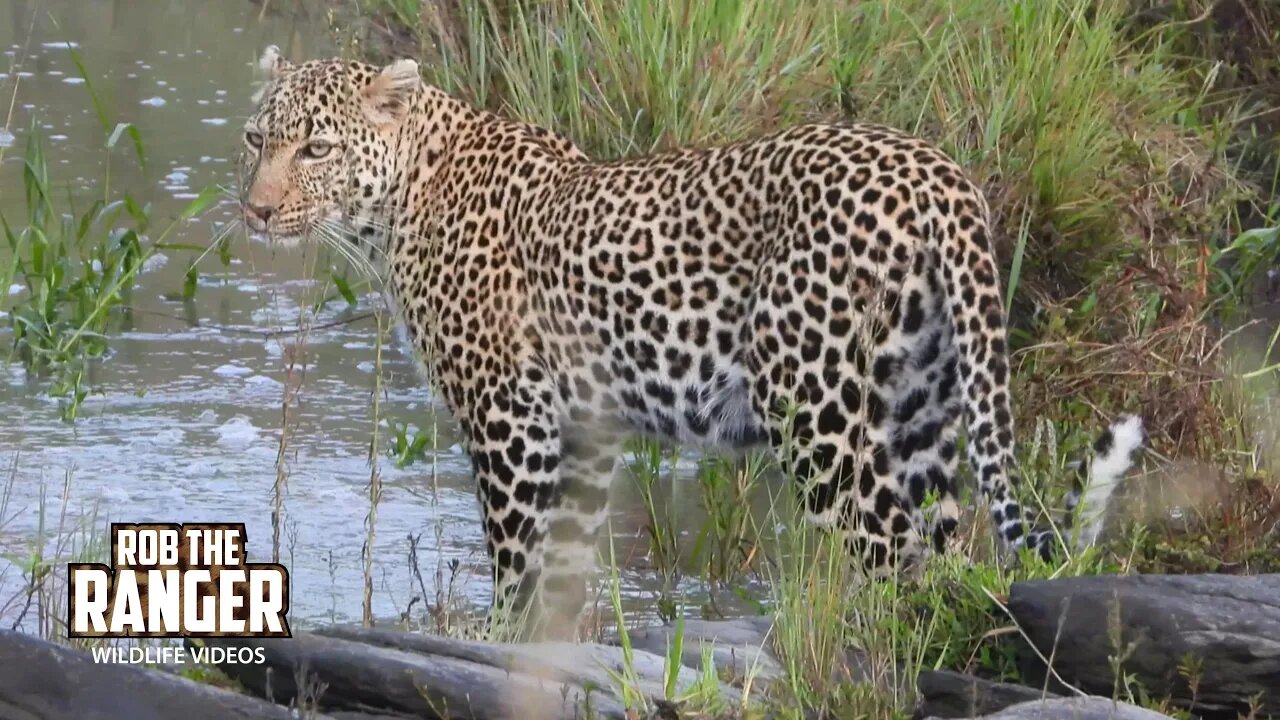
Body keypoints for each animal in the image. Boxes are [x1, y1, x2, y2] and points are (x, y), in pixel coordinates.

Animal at [240, 47, 1152, 635]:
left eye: (316, 147)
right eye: (257, 139)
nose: (255, 209)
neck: (399, 203)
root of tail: (937, 171)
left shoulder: (511, 422)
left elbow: (516, 558)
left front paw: (492, 642)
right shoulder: (584, 429)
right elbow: (565, 563)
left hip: (818, 412)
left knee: (887, 552)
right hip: (919, 409)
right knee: (944, 552)